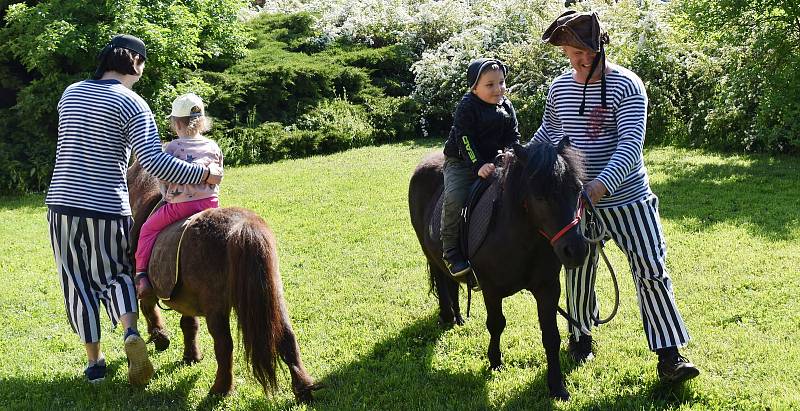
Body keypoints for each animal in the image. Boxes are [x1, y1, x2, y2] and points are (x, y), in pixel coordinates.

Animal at [126, 161, 318, 402]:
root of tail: (242, 227)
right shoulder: (186, 299)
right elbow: (189, 324)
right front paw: (191, 356)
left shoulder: (146, 288)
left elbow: (149, 309)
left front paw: (160, 337)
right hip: (274, 295)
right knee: (287, 336)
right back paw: (303, 388)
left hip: (216, 308)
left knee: (224, 345)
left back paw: (221, 388)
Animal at [412, 142, 588, 400]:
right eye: (540, 196)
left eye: (577, 189)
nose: (575, 250)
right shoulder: (491, 290)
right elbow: (496, 324)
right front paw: (495, 361)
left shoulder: (548, 288)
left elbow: (551, 336)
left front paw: (557, 386)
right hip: (429, 252)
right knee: (442, 281)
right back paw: (446, 316)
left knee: (451, 281)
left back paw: (458, 318)